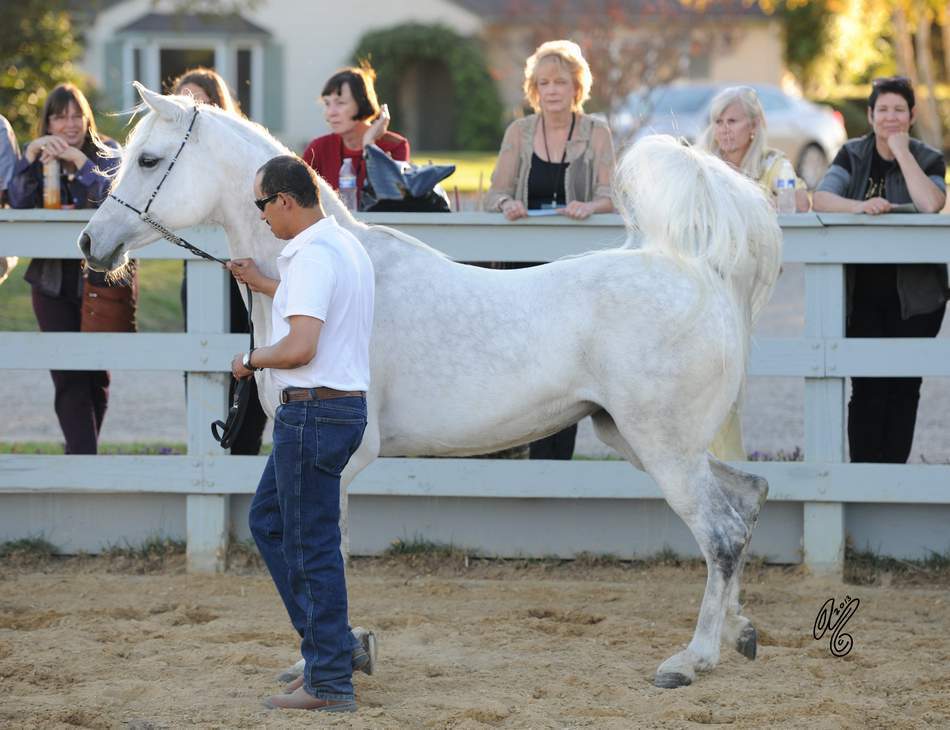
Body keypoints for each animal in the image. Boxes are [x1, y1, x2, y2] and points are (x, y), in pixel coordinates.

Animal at [79, 83, 782, 689]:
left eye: (148, 159)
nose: (91, 242)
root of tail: (705, 272)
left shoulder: (338, 457)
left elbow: (322, 550)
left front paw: (330, 659)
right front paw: (343, 652)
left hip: (664, 450)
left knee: (721, 533)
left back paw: (690, 661)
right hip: (641, 442)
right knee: (747, 500)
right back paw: (739, 635)